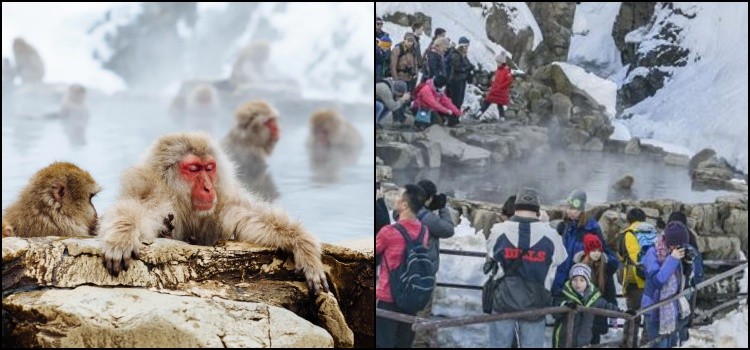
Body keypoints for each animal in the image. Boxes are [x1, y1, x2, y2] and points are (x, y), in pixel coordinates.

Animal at [98, 131, 330, 292]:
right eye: (194, 169)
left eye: (209, 168)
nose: (208, 188)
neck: (181, 201)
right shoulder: (156, 195)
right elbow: (136, 210)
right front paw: (122, 236)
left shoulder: (221, 202)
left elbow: (250, 218)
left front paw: (302, 245)